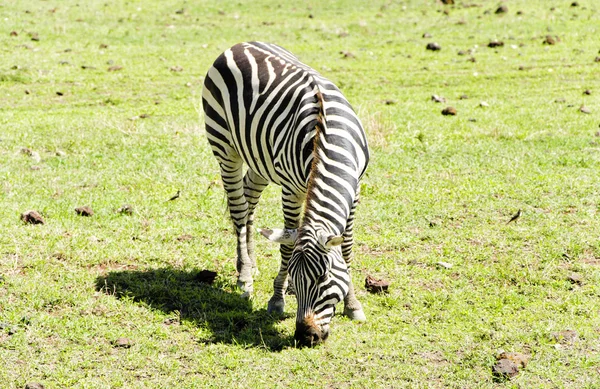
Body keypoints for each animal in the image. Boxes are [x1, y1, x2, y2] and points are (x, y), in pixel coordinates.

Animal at [204, 41, 368, 346]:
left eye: (324, 278)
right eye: (296, 274)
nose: (306, 337)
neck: (327, 138)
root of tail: (239, 44)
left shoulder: (356, 191)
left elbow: (347, 246)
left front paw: (352, 305)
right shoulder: (291, 190)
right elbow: (287, 246)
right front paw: (278, 299)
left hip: (260, 160)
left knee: (249, 197)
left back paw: (248, 263)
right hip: (225, 148)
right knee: (239, 211)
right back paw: (245, 276)